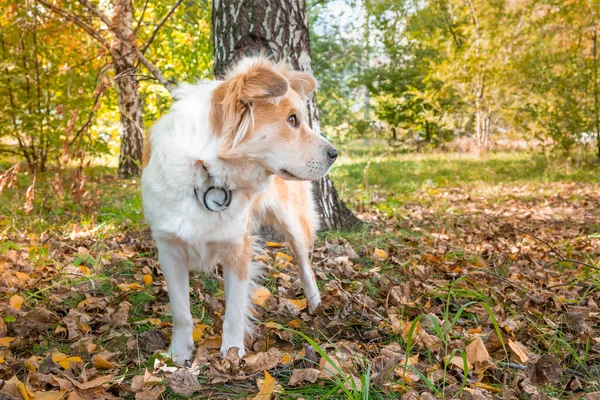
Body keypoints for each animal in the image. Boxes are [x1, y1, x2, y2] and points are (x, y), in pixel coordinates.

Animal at [140, 57, 338, 366]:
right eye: (292, 120)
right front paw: (178, 355)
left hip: (293, 223)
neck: (207, 172)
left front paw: (232, 354)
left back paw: (315, 305)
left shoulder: (238, 247)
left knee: (306, 268)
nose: (335, 154)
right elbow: (181, 312)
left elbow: (233, 311)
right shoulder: (169, 249)